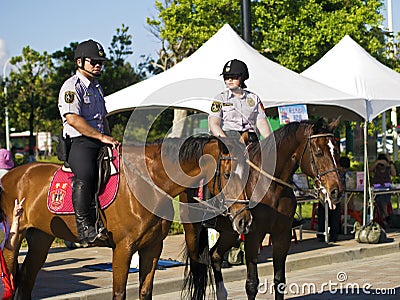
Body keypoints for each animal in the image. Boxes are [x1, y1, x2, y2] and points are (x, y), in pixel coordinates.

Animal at [0, 135, 252, 298]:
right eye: (227, 174)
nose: (244, 220)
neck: (149, 183)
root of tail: (10, 176)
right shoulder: (123, 249)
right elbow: (119, 293)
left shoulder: (152, 248)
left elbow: (145, 291)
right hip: (13, 239)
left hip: (41, 239)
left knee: (26, 282)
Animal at [183, 119, 342, 300]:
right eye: (318, 152)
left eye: (336, 151)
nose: (336, 191)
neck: (271, 187)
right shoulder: (253, 236)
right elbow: (252, 284)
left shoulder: (282, 235)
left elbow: (279, 281)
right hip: (193, 230)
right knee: (197, 267)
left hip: (230, 231)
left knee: (215, 255)